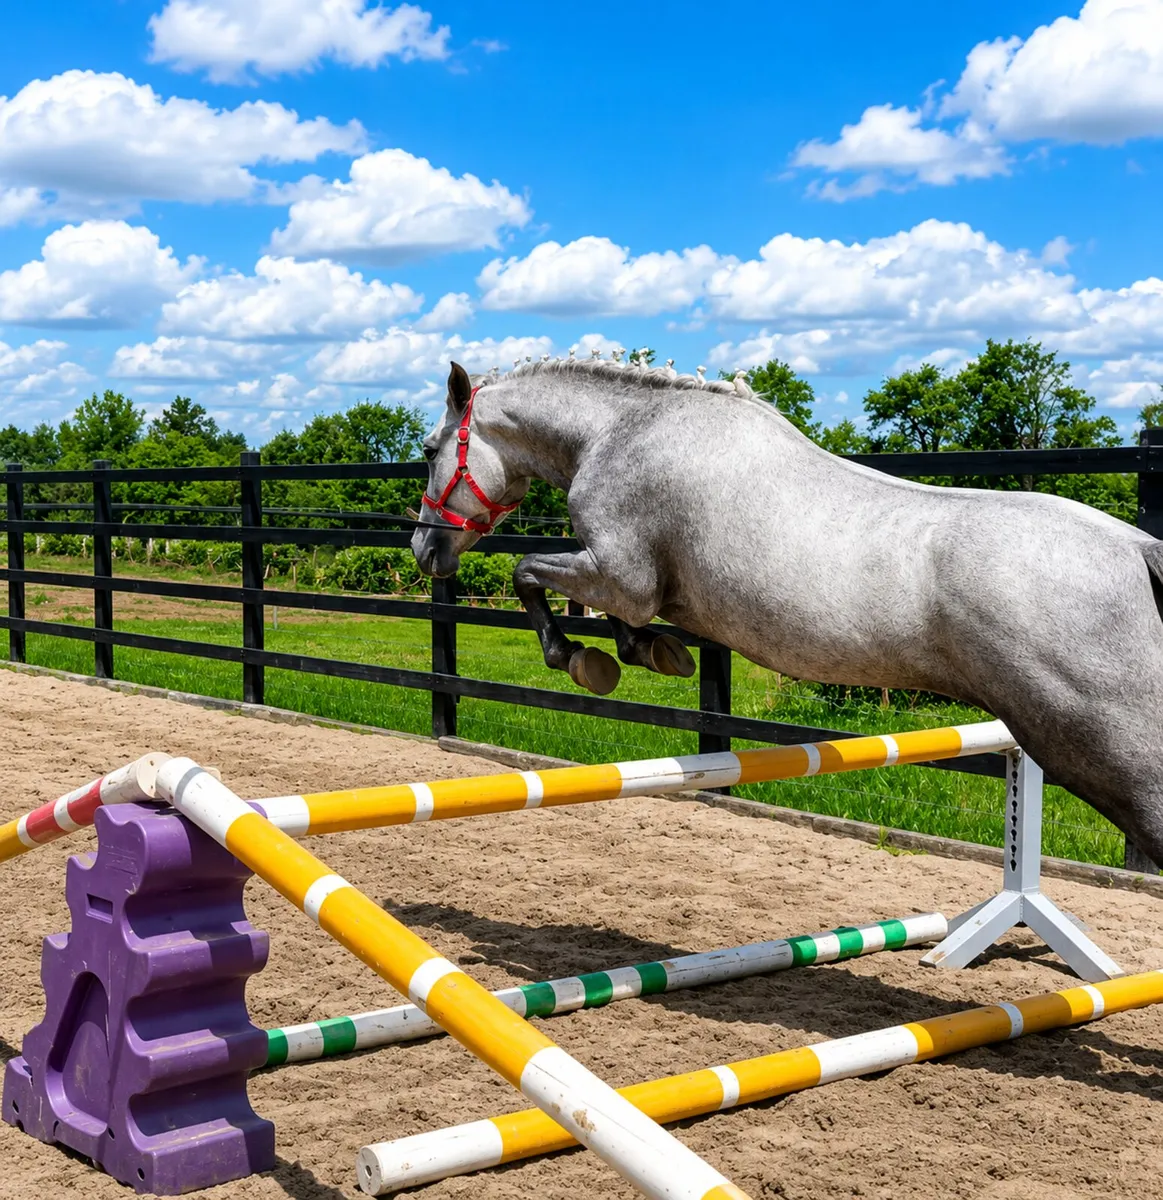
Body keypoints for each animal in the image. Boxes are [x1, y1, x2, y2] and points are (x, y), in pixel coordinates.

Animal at [411, 358, 1163, 864]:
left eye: (428, 450)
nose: (424, 549)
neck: (620, 431)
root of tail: (1137, 549)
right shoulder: (627, 583)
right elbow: (615, 617)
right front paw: (650, 653)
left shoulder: (621, 576)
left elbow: (528, 576)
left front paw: (580, 659)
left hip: (1103, 747)